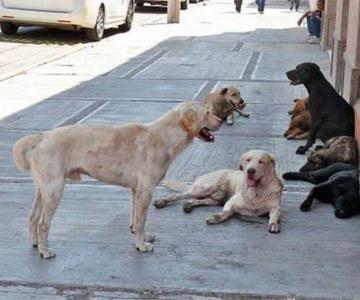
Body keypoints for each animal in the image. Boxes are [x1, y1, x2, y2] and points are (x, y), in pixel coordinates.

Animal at [155, 150, 284, 234]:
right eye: (248, 160)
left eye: (261, 161)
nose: (250, 170)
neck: (257, 191)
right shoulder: (231, 203)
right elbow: (225, 212)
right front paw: (216, 217)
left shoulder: (276, 208)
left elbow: (274, 215)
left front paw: (273, 224)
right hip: (204, 189)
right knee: (176, 195)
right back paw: (161, 201)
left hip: (213, 199)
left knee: (195, 200)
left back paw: (188, 205)